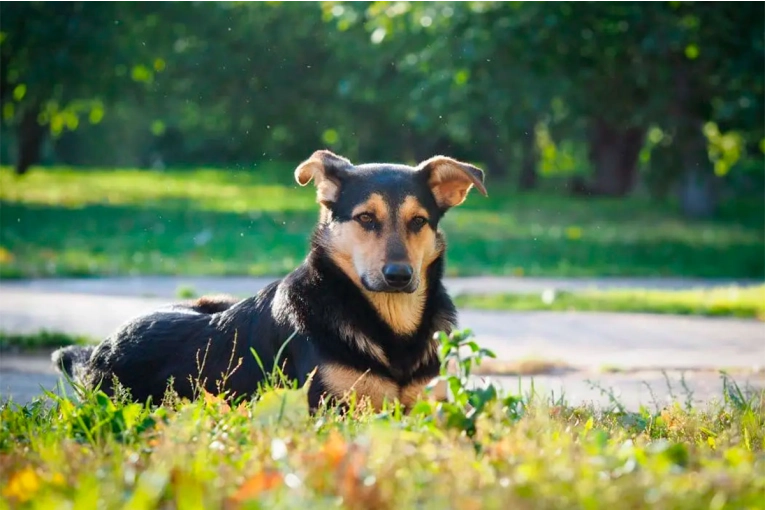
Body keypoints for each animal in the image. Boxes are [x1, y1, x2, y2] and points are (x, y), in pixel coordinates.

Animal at [53, 149, 486, 412]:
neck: (391, 327)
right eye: (366, 218)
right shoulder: (331, 411)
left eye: (419, 222)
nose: (399, 276)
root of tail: (98, 352)